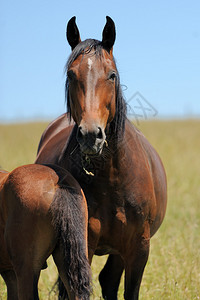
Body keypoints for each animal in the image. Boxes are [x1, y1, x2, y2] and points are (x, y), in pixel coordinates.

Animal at [36, 17, 167, 300]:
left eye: (112, 74)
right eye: (71, 74)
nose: (90, 135)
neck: (112, 178)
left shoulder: (139, 247)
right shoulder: (83, 244)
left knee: (108, 281)